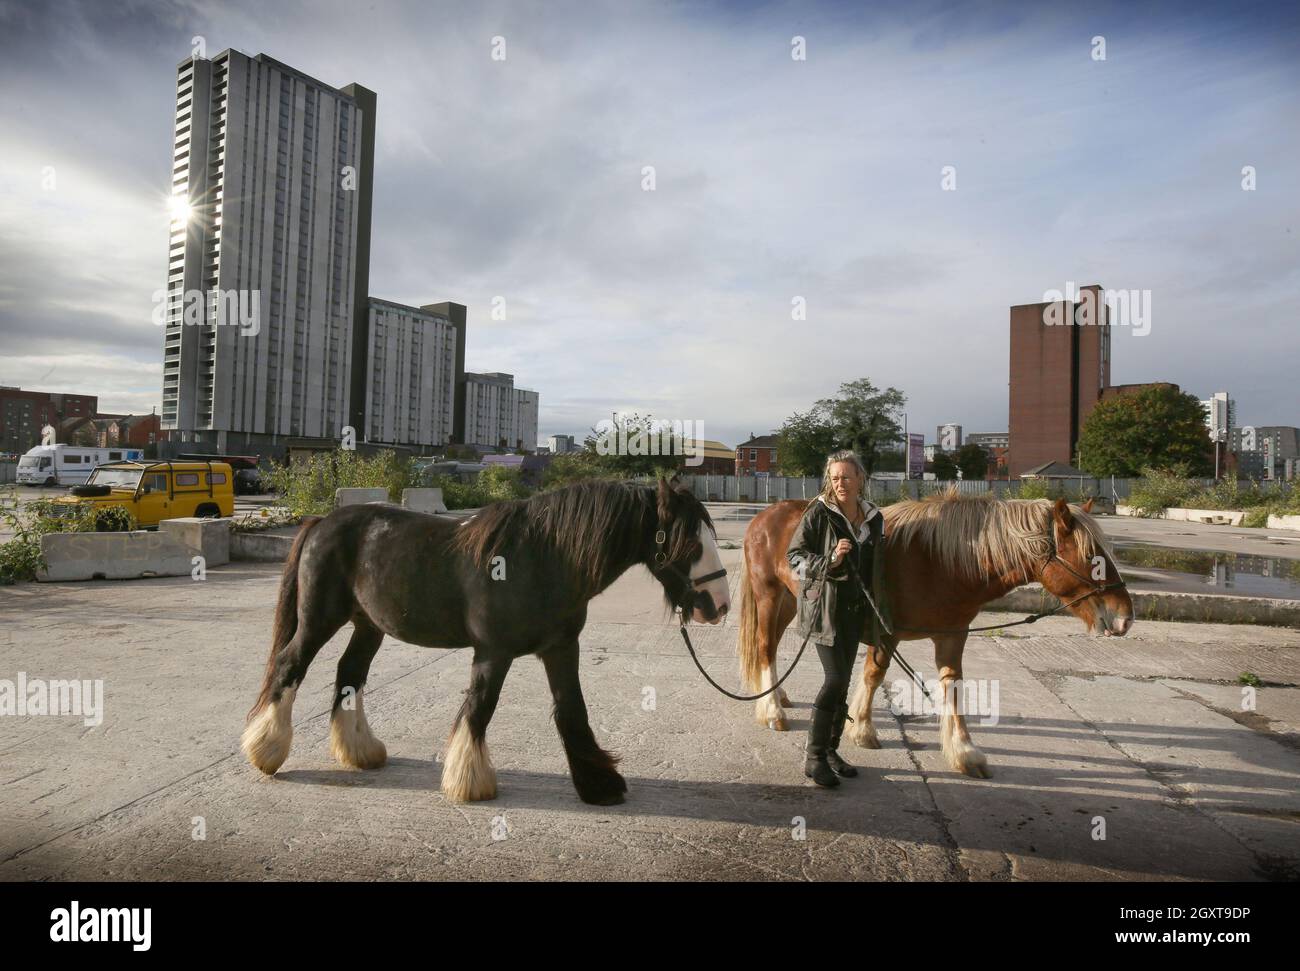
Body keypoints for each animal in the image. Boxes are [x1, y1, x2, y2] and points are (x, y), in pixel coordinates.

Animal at [241, 475, 733, 805]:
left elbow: (572, 710)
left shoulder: (561, 647)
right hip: (319, 620)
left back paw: (360, 752)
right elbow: (480, 706)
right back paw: (266, 751)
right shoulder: (494, 653)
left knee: (350, 673)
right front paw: (469, 781)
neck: (544, 556)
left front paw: (599, 784)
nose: (720, 605)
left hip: (368, 626)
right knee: (290, 665)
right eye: (689, 543)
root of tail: (322, 521)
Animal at [738, 488, 1133, 779]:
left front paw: (965, 752)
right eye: (1093, 557)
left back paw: (778, 695)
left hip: (792, 601)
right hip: (769, 595)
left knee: (770, 645)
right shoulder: (888, 633)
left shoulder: (952, 636)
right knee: (765, 646)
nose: (1125, 618)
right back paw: (772, 710)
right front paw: (863, 729)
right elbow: (874, 675)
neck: (939, 561)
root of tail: (764, 516)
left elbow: (952, 686)